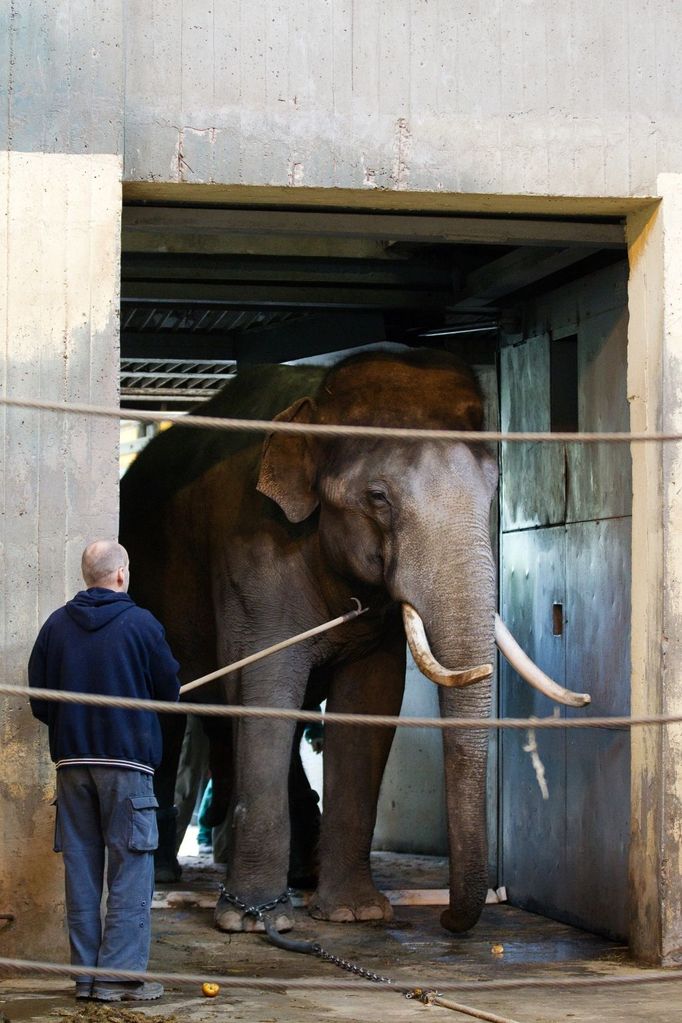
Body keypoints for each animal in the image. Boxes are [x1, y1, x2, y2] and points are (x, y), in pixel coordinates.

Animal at [120, 345, 588, 937]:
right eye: (378, 497)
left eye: (492, 491)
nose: (447, 920)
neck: (318, 402)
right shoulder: (252, 550)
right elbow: (267, 685)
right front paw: (250, 919)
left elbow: (370, 697)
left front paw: (353, 912)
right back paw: (166, 875)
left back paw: (299, 872)